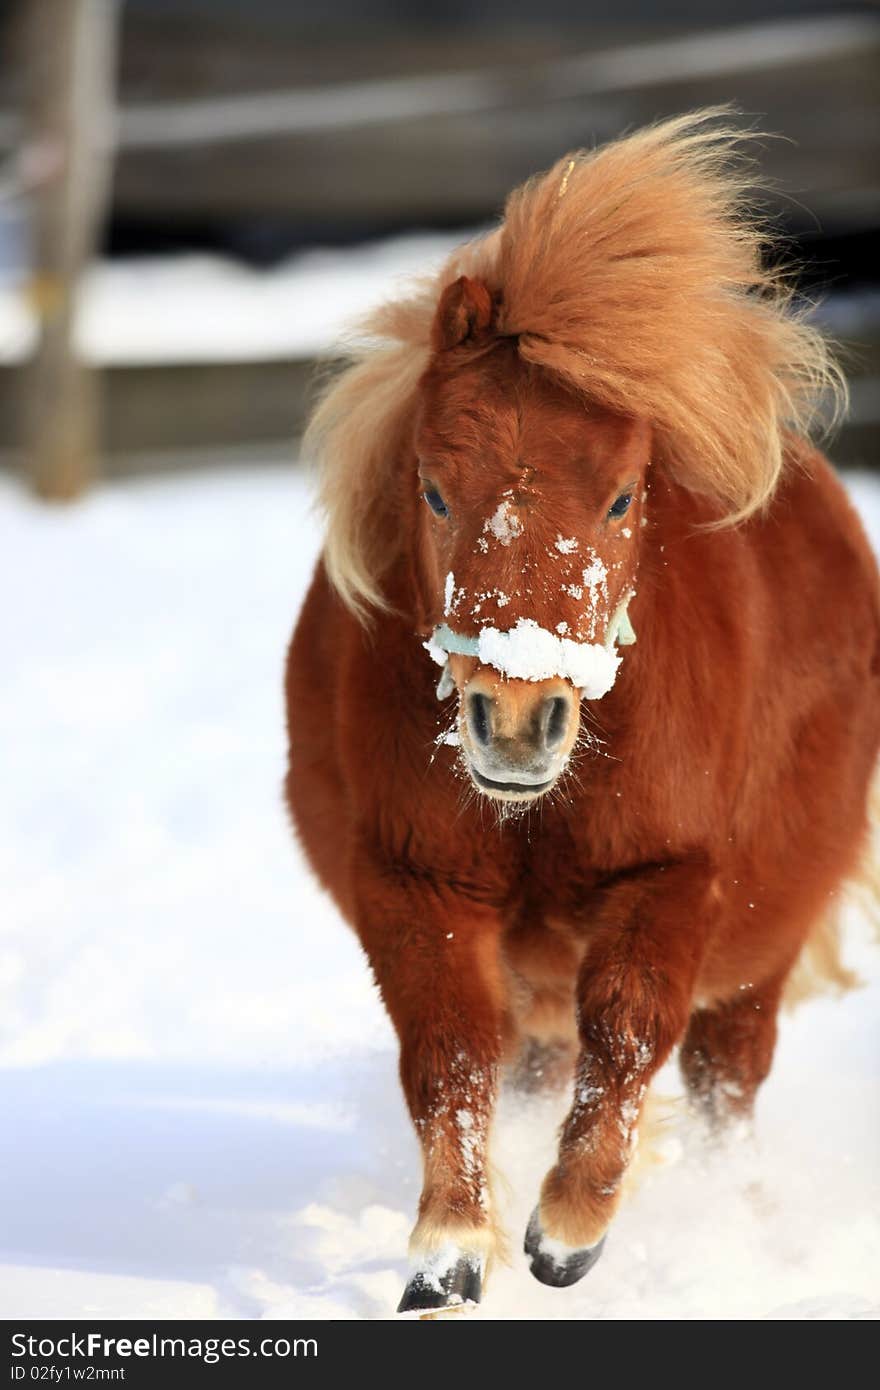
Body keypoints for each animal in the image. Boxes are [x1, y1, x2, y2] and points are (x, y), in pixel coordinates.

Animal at [283, 111, 878, 1312]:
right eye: (432, 487)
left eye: (621, 495)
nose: (514, 721)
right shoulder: (414, 882)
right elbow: (448, 1054)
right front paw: (448, 1251)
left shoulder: (673, 876)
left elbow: (630, 1031)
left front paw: (567, 1228)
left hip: (763, 949)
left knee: (722, 1085)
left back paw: (747, 1231)